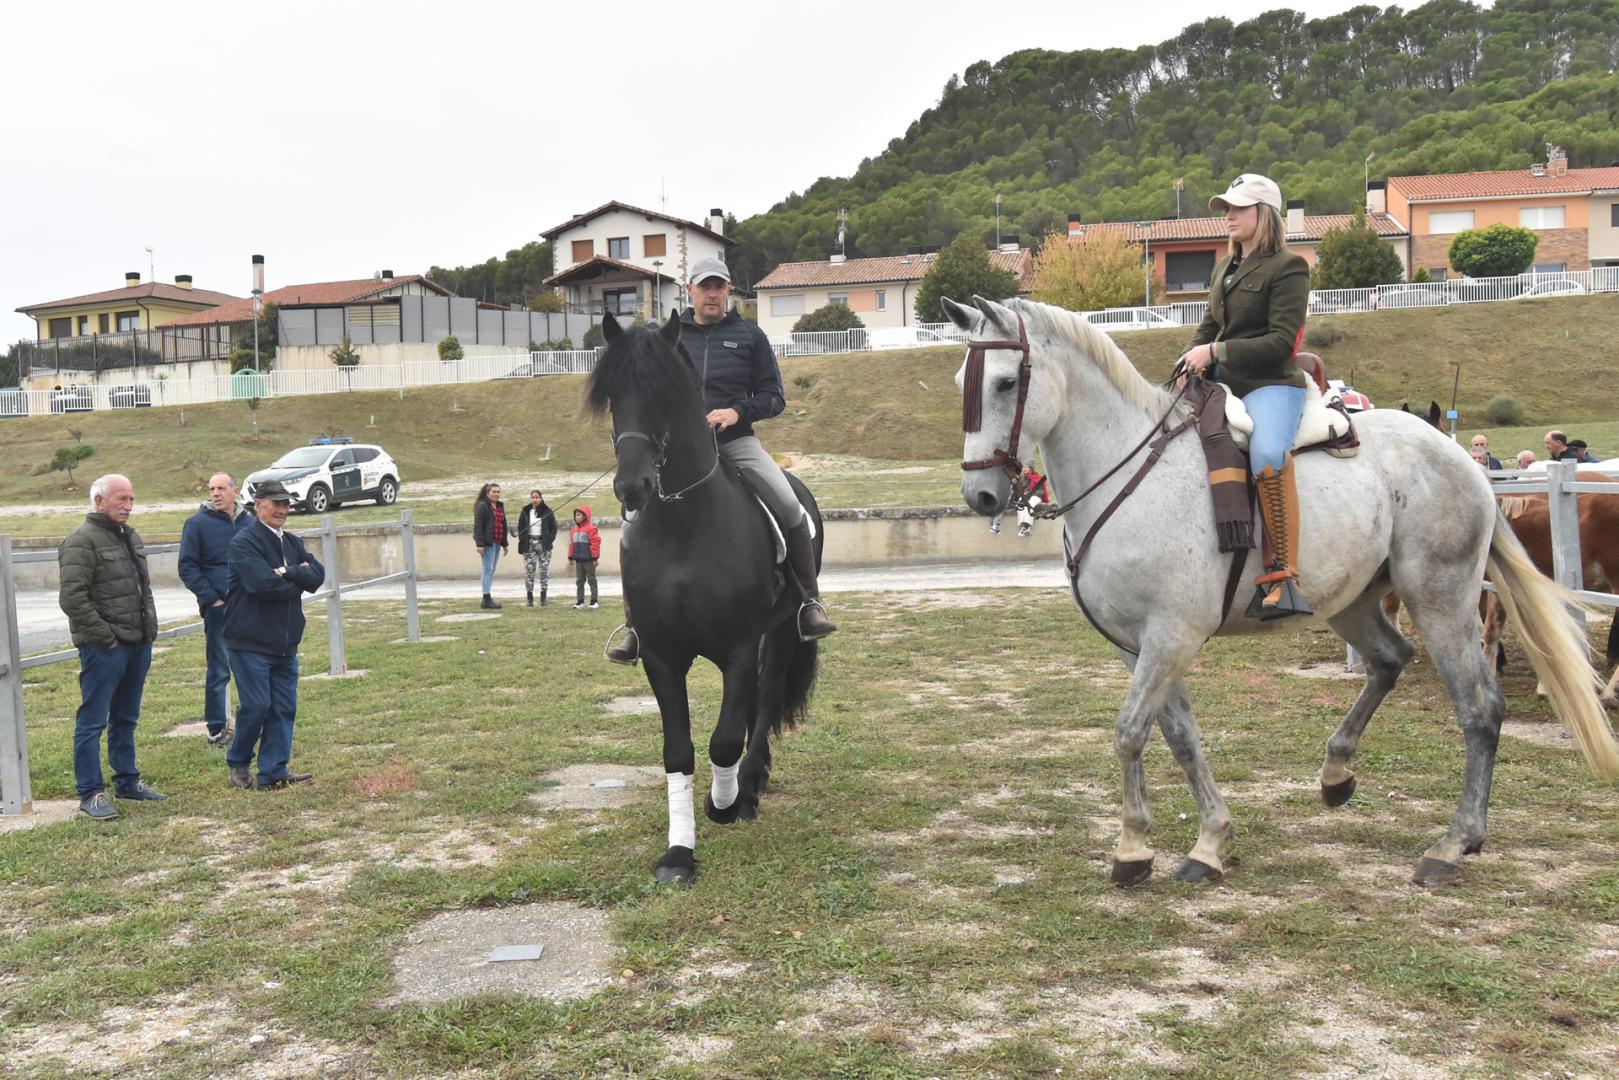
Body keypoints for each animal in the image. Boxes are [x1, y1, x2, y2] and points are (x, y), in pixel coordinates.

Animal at [585, 312, 821, 885]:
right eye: (614, 396)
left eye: (667, 394)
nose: (632, 487)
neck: (683, 527)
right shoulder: (661, 656)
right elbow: (678, 750)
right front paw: (679, 853)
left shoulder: (738, 648)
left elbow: (724, 738)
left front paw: (724, 803)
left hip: (783, 629)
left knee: (766, 695)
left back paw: (749, 786)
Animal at [946, 294, 1619, 888]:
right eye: (962, 382)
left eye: (1005, 383)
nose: (981, 495)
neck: (1132, 477)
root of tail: (1458, 458)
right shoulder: (1136, 646)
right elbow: (1178, 735)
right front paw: (1210, 841)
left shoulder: (1171, 636)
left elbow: (1130, 732)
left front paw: (1133, 849)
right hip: (1352, 602)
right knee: (1389, 660)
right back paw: (1336, 772)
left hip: (1441, 599)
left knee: (1479, 707)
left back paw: (1453, 844)